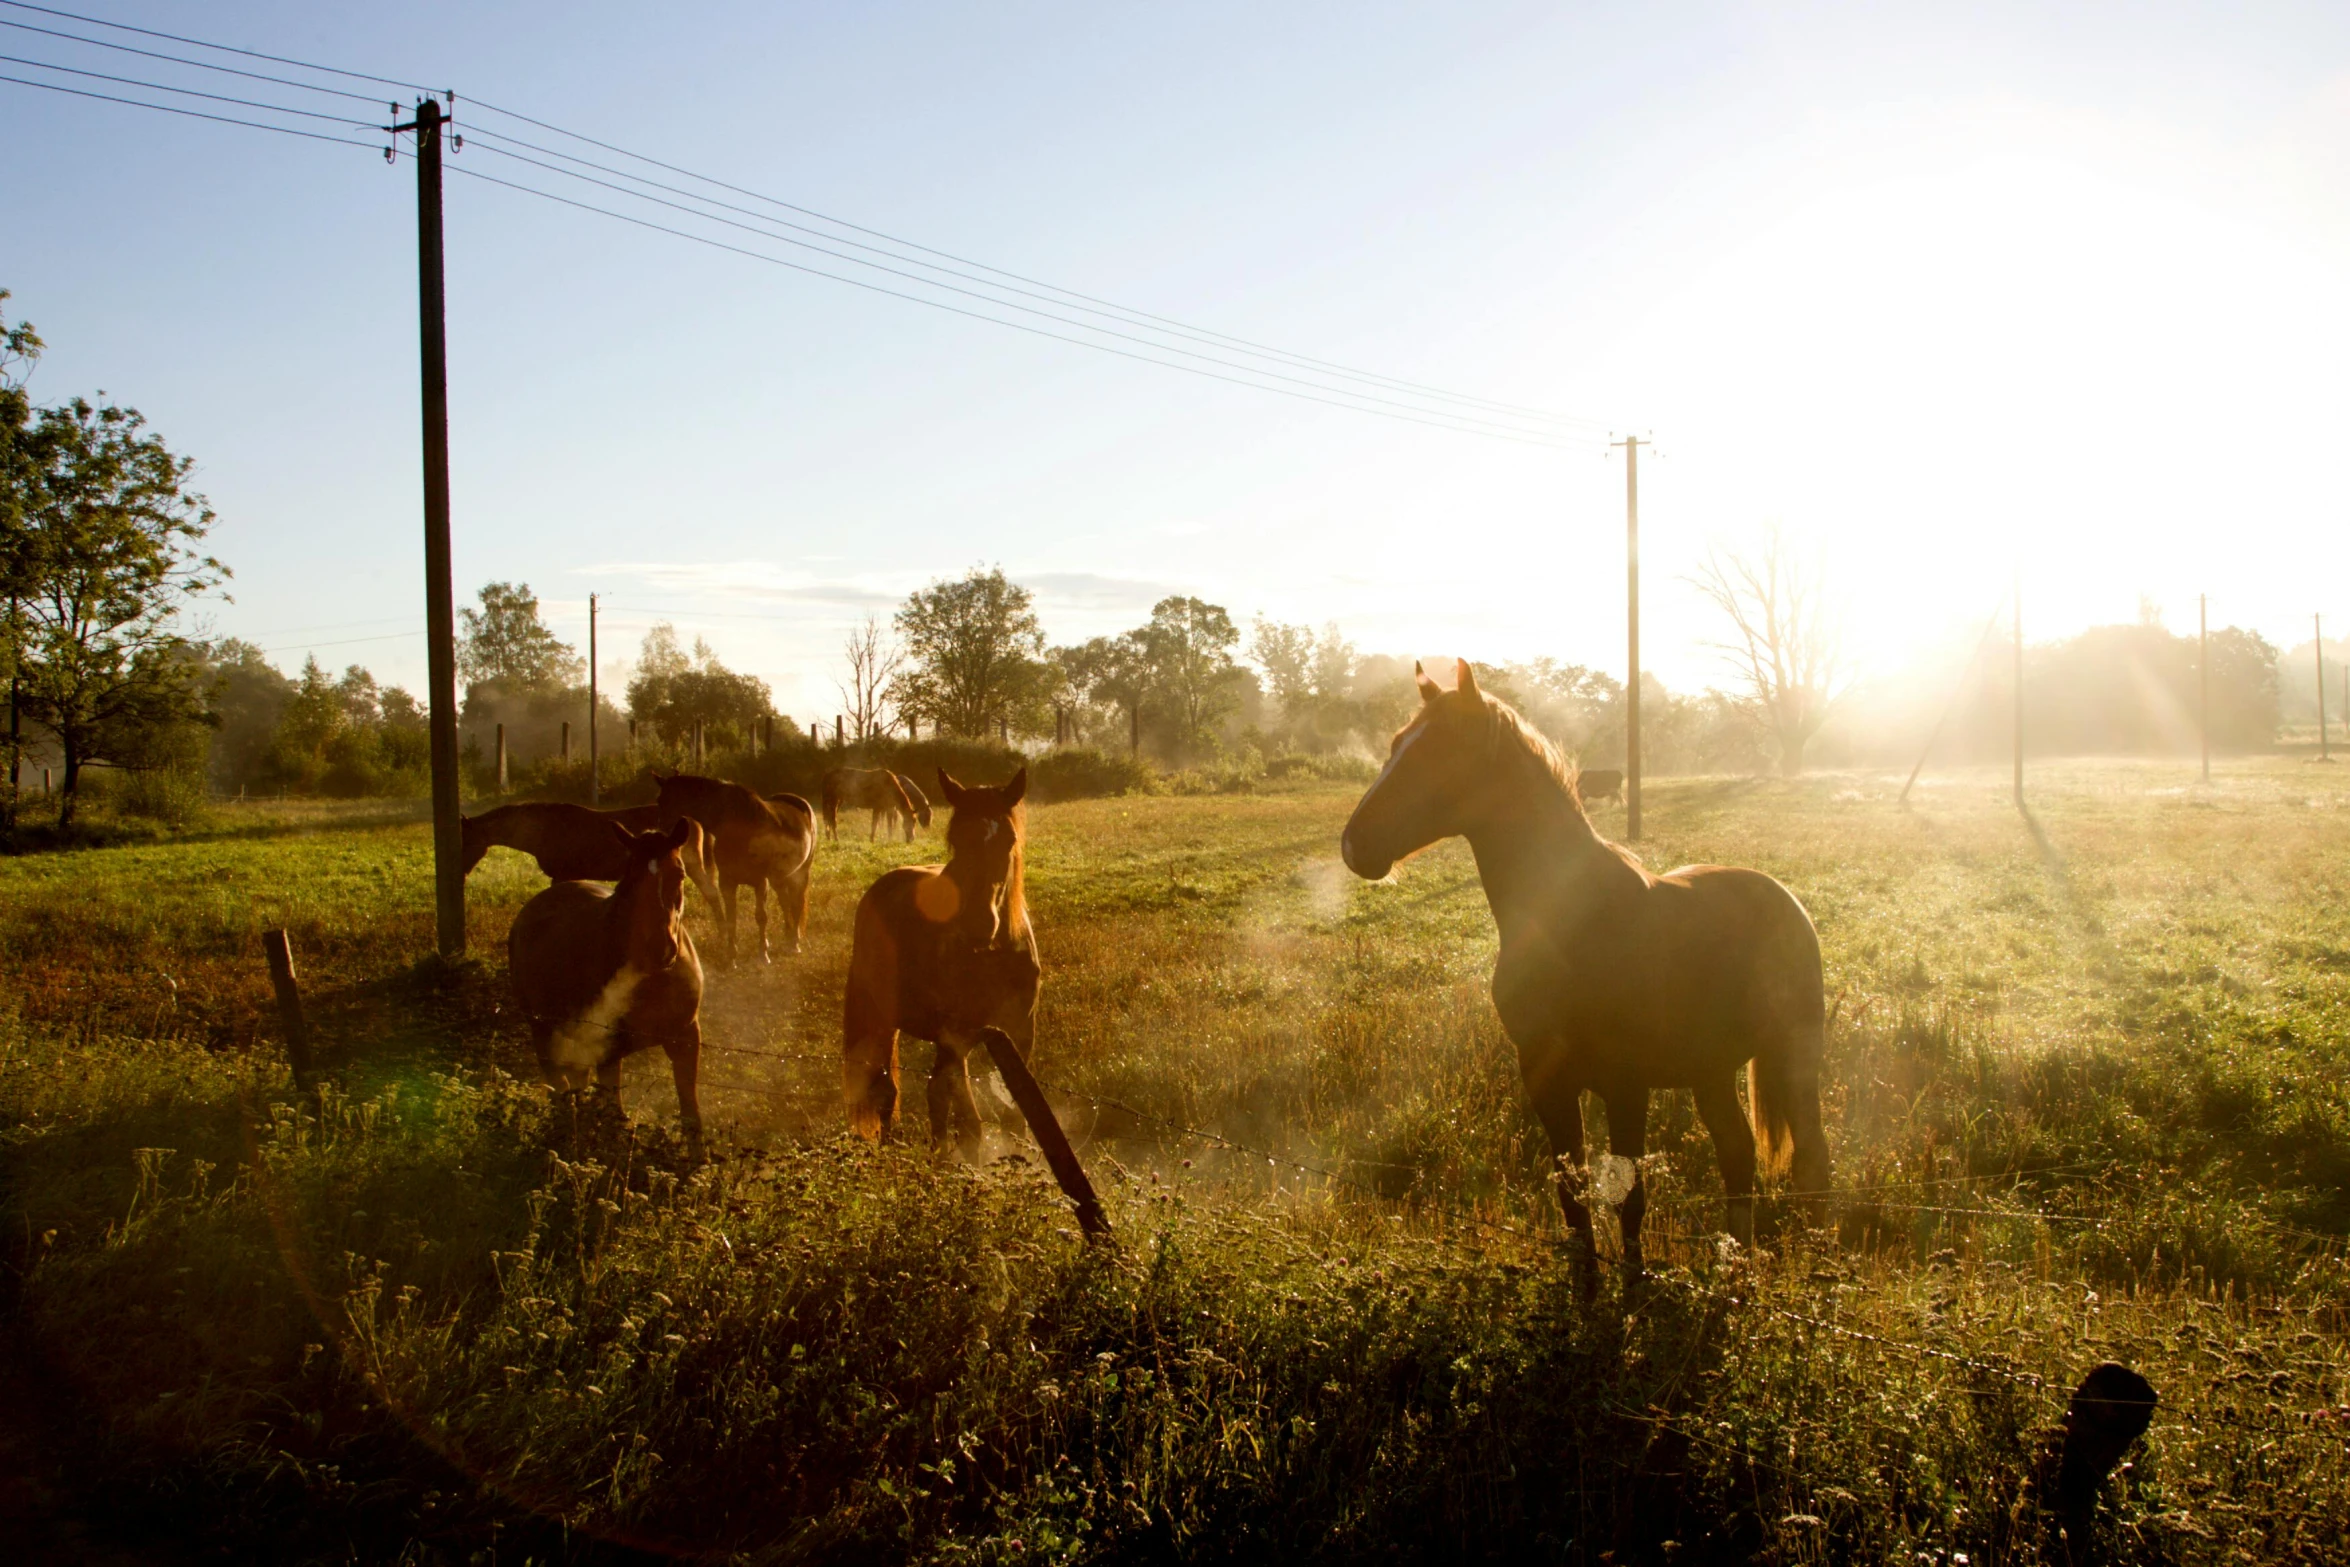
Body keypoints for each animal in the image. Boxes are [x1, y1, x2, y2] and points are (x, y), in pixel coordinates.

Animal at [507, 822, 705, 1151]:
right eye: (631, 876)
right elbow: (615, 1116)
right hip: (542, 1029)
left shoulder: (686, 1038)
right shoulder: (609, 1050)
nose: (660, 949)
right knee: (560, 1090)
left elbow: (691, 1115)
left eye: (679, 874)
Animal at [653, 775, 817, 967]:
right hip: (780, 877)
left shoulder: (760, 882)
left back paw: (794, 944)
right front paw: (731, 957)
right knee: (785, 902)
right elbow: (731, 919)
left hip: (801, 872)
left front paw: (763, 955)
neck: (739, 827)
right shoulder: (727, 882)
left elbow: (761, 917)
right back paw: (788, 937)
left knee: (796, 903)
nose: (662, 832)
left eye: (662, 799)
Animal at [841, 765, 1034, 1160]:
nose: (978, 924)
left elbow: (1016, 1121)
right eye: (956, 840)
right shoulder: (955, 1039)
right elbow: (972, 1126)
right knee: (888, 1093)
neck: (992, 956)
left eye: (1008, 840)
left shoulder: (1021, 1035)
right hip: (885, 1022)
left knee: (933, 1096)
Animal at [1344, 662, 1832, 1287]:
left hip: (1794, 1055)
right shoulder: (1543, 1076)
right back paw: (1734, 1268)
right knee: (1737, 1153)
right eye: (1395, 745)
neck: (1573, 922)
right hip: (1712, 1069)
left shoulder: (1626, 1084)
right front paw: (1587, 1287)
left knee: (1812, 1160)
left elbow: (1630, 1198)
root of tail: (1786, 899)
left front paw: (1632, 1287)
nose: (1355, 844)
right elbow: (1572, 1194)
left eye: (1442, 751)